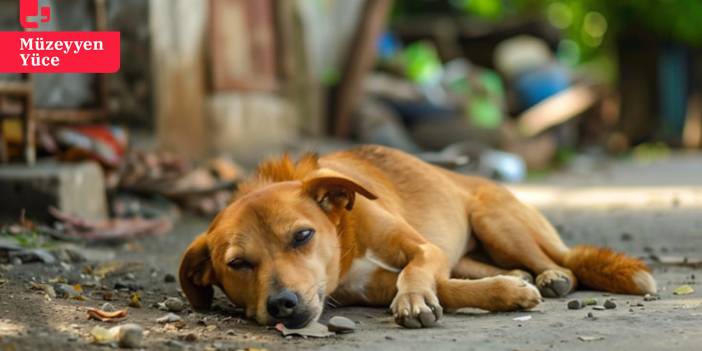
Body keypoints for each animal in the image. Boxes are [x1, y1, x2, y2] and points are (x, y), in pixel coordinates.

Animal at [179, 145, 656, 330]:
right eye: (238, 264)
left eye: (302, 236)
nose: (283, 305)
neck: (346, 238)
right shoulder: (369, 287)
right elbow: (447, 287)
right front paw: (507, 292)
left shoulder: (425, 249)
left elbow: (417, 272)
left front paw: (412, 301)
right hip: (472, 249)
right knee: (484, 267)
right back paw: (520, 277)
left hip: (496, 221)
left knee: (561, 262)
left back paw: (551, 276)